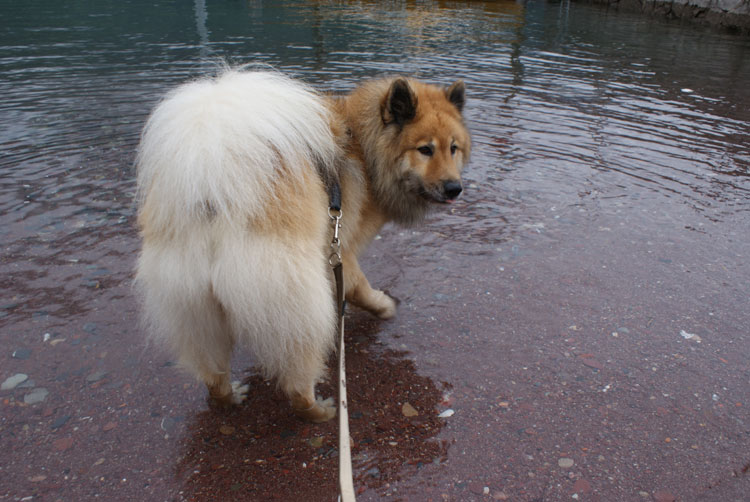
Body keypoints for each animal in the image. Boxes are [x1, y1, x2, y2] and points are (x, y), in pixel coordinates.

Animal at [135, 68, 470, 422]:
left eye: (453, 148)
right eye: (425, 149)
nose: (454, 188)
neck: (364, 147)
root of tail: (213, 191)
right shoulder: (340, 250)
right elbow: (360, 289)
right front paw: (385, 306)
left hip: (198, 312)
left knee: (213, 377)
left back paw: (231, 395)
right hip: (298, 305)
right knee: (296, 385)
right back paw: (320, 410)